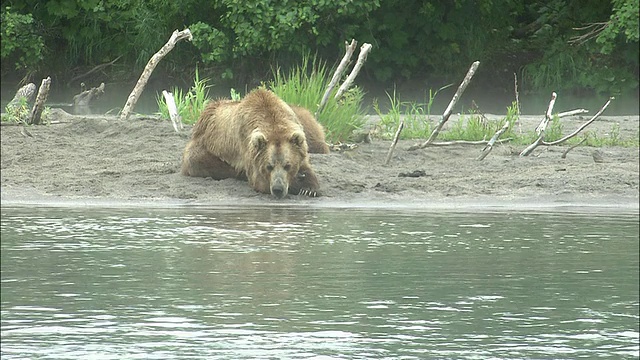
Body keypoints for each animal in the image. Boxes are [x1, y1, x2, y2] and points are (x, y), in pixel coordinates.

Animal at [182, 88, 328, 198]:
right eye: (269, 166)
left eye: (288, 165)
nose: (278, 189)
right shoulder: (248, 149)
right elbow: (259, 181)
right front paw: (298, 183)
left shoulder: (299, 146)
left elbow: (307, 167)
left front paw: (309, 188)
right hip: (204, 144)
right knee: (198, 160)